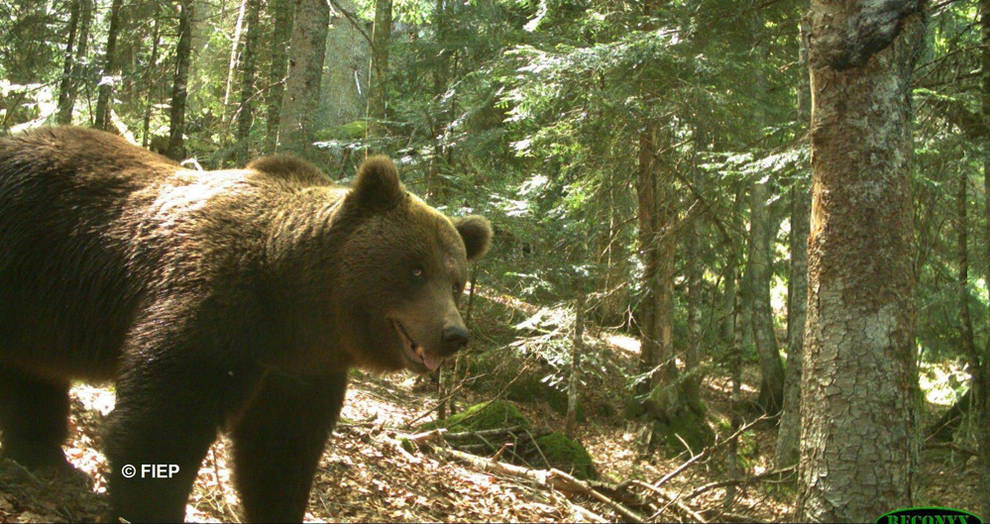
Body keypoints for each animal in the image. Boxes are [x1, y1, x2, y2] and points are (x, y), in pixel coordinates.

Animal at [0, 126, 492, 520]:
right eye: (416, 269)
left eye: (456, 281)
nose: (454, 334)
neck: (293, 302)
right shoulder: (214, 309)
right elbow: (162, 423)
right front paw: (147, 506)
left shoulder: (299, 369)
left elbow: (280, 453)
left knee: (31, 375)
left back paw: (43, 455)